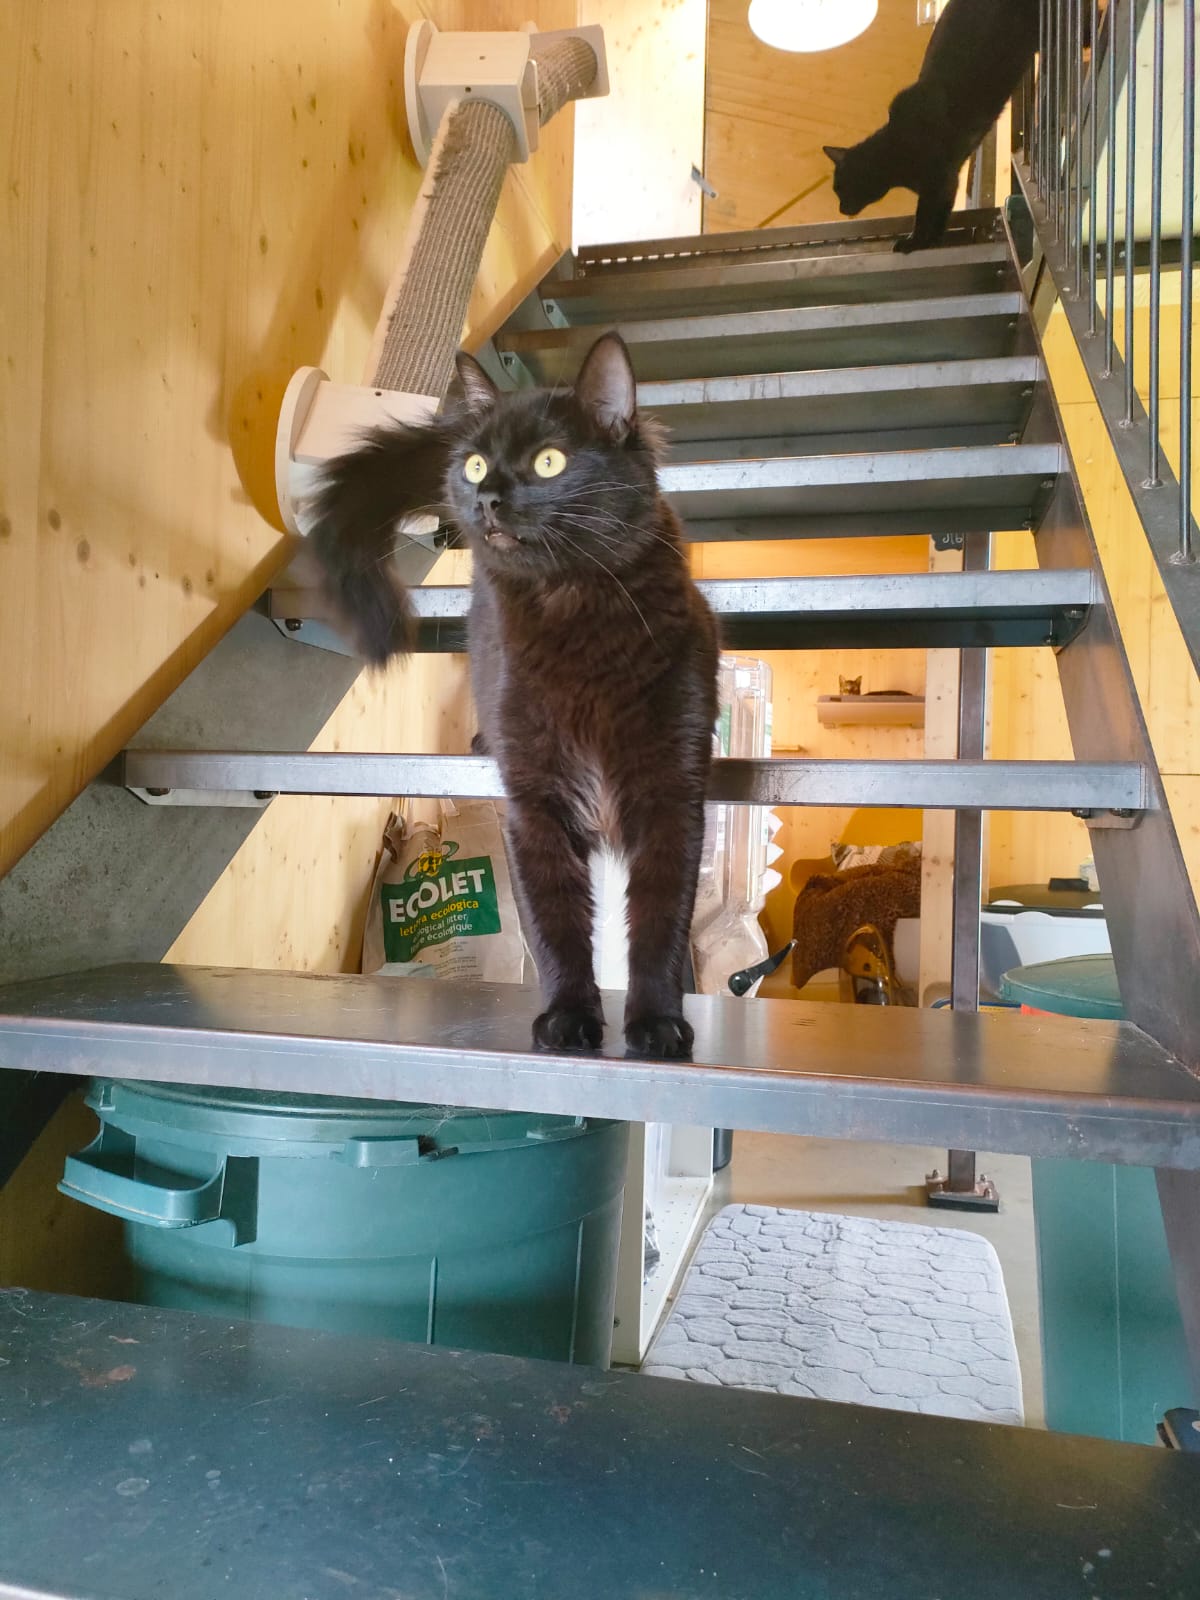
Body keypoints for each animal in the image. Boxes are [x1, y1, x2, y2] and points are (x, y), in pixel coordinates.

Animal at [307, 333, 719, 1060]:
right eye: (474, 466)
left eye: (549, 461)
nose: (489, 499)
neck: (571, 612)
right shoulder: (534, 803)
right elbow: (555, 923)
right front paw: (568, 1018)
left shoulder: (671, 792)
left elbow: (659, 923)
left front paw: (657, 1026)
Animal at [823, 0, 1040, 252]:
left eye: (839, 187)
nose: (841, 209)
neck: (894, 147)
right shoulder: (942, 185)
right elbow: (936, 218)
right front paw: (931, 241)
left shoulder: (941, 181)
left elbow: (926, 217)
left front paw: (917, 242)